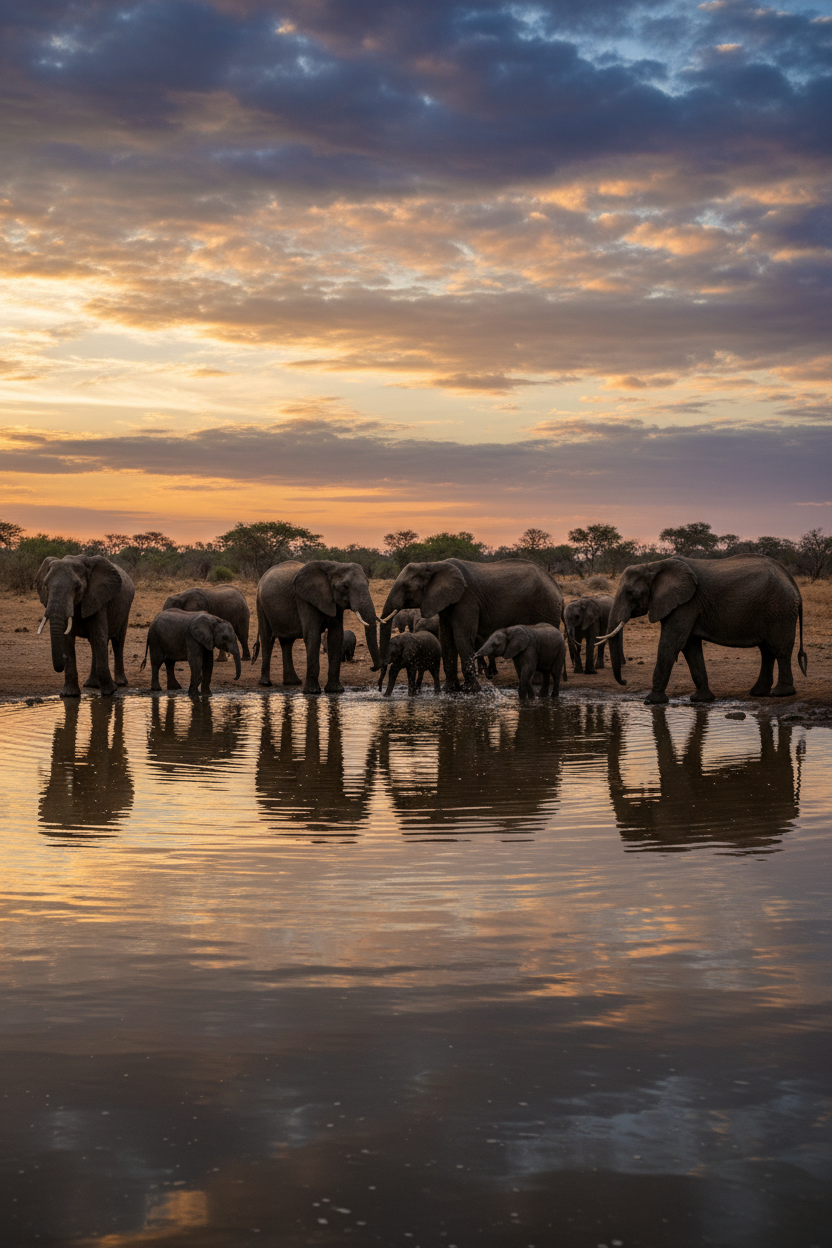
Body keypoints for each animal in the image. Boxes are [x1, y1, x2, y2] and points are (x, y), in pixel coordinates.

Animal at [35, 554, 135, 698]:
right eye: (45, 586)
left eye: (77, 588)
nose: (59, 667)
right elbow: (68, 641)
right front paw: (69, 694)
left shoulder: (98, 599)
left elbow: (99, 637)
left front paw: (109, 692)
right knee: (95, 644)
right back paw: (91, 685)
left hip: (125, 609)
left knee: (117, 642)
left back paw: (120, 683)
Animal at [253, 560, 380, 695]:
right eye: (346, 586)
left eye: (368, 583)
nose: (372, 668)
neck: (333, 565)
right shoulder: (305, 599)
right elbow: (312, 635)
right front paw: (312, 692)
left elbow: (336, 636)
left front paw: (335, 691)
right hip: (260, 604)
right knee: (267, 639)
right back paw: (266, 683)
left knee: (287, 642)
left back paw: (293, 682)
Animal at [381, 558, 564, 693]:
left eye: (406, 588)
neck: (433, 564)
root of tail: (557, 588)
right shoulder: (446, 603)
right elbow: (447, 639)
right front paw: (450, 690)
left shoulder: (466, 599)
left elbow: (462, 637)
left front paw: (471, 690)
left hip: (545, 606)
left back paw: (536, 680)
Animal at [598, 555, 807, 705]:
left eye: (630, 593)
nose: (625, 682)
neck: (653, 566)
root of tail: (793, 584)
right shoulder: (686, 605)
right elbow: (690, 647)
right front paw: (702, 699)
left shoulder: (686, 603)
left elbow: (671, 644)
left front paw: (651, 701)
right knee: (766, 651)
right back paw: (758, 693)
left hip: (780, 609)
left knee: (780, 649)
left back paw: (780, 693)